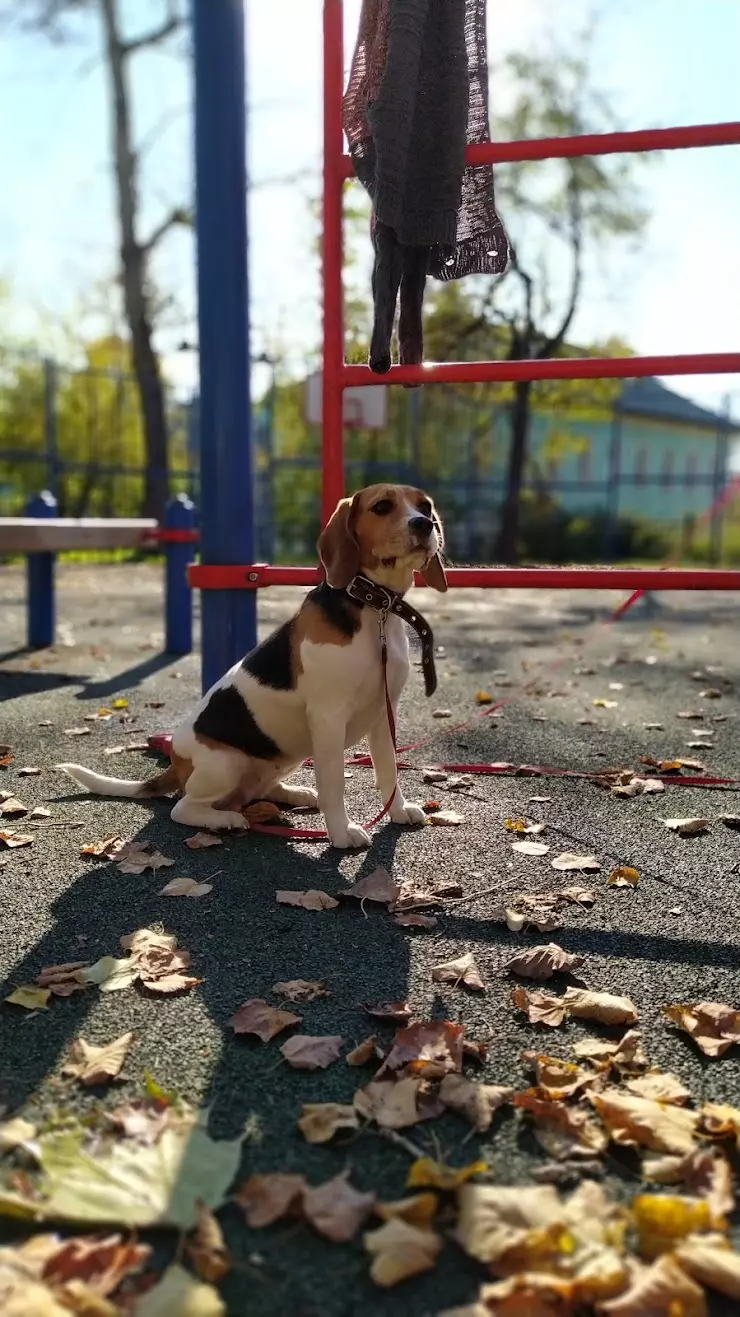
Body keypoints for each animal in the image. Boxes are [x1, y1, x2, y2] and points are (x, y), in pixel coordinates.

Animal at [56, 489, 442, 848]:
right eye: (382, 506)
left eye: (425, 506)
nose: (425, 525)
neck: (374, 609)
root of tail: (177, 762)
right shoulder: (328, 717)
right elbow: (334, 784)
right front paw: (341, 831)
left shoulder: (383, 713)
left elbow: (388, 771)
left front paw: (397, 810)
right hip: (225, 764)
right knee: (183, 808)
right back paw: (225, 819)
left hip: (284, 756)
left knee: (258, 790)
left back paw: (296, 793)